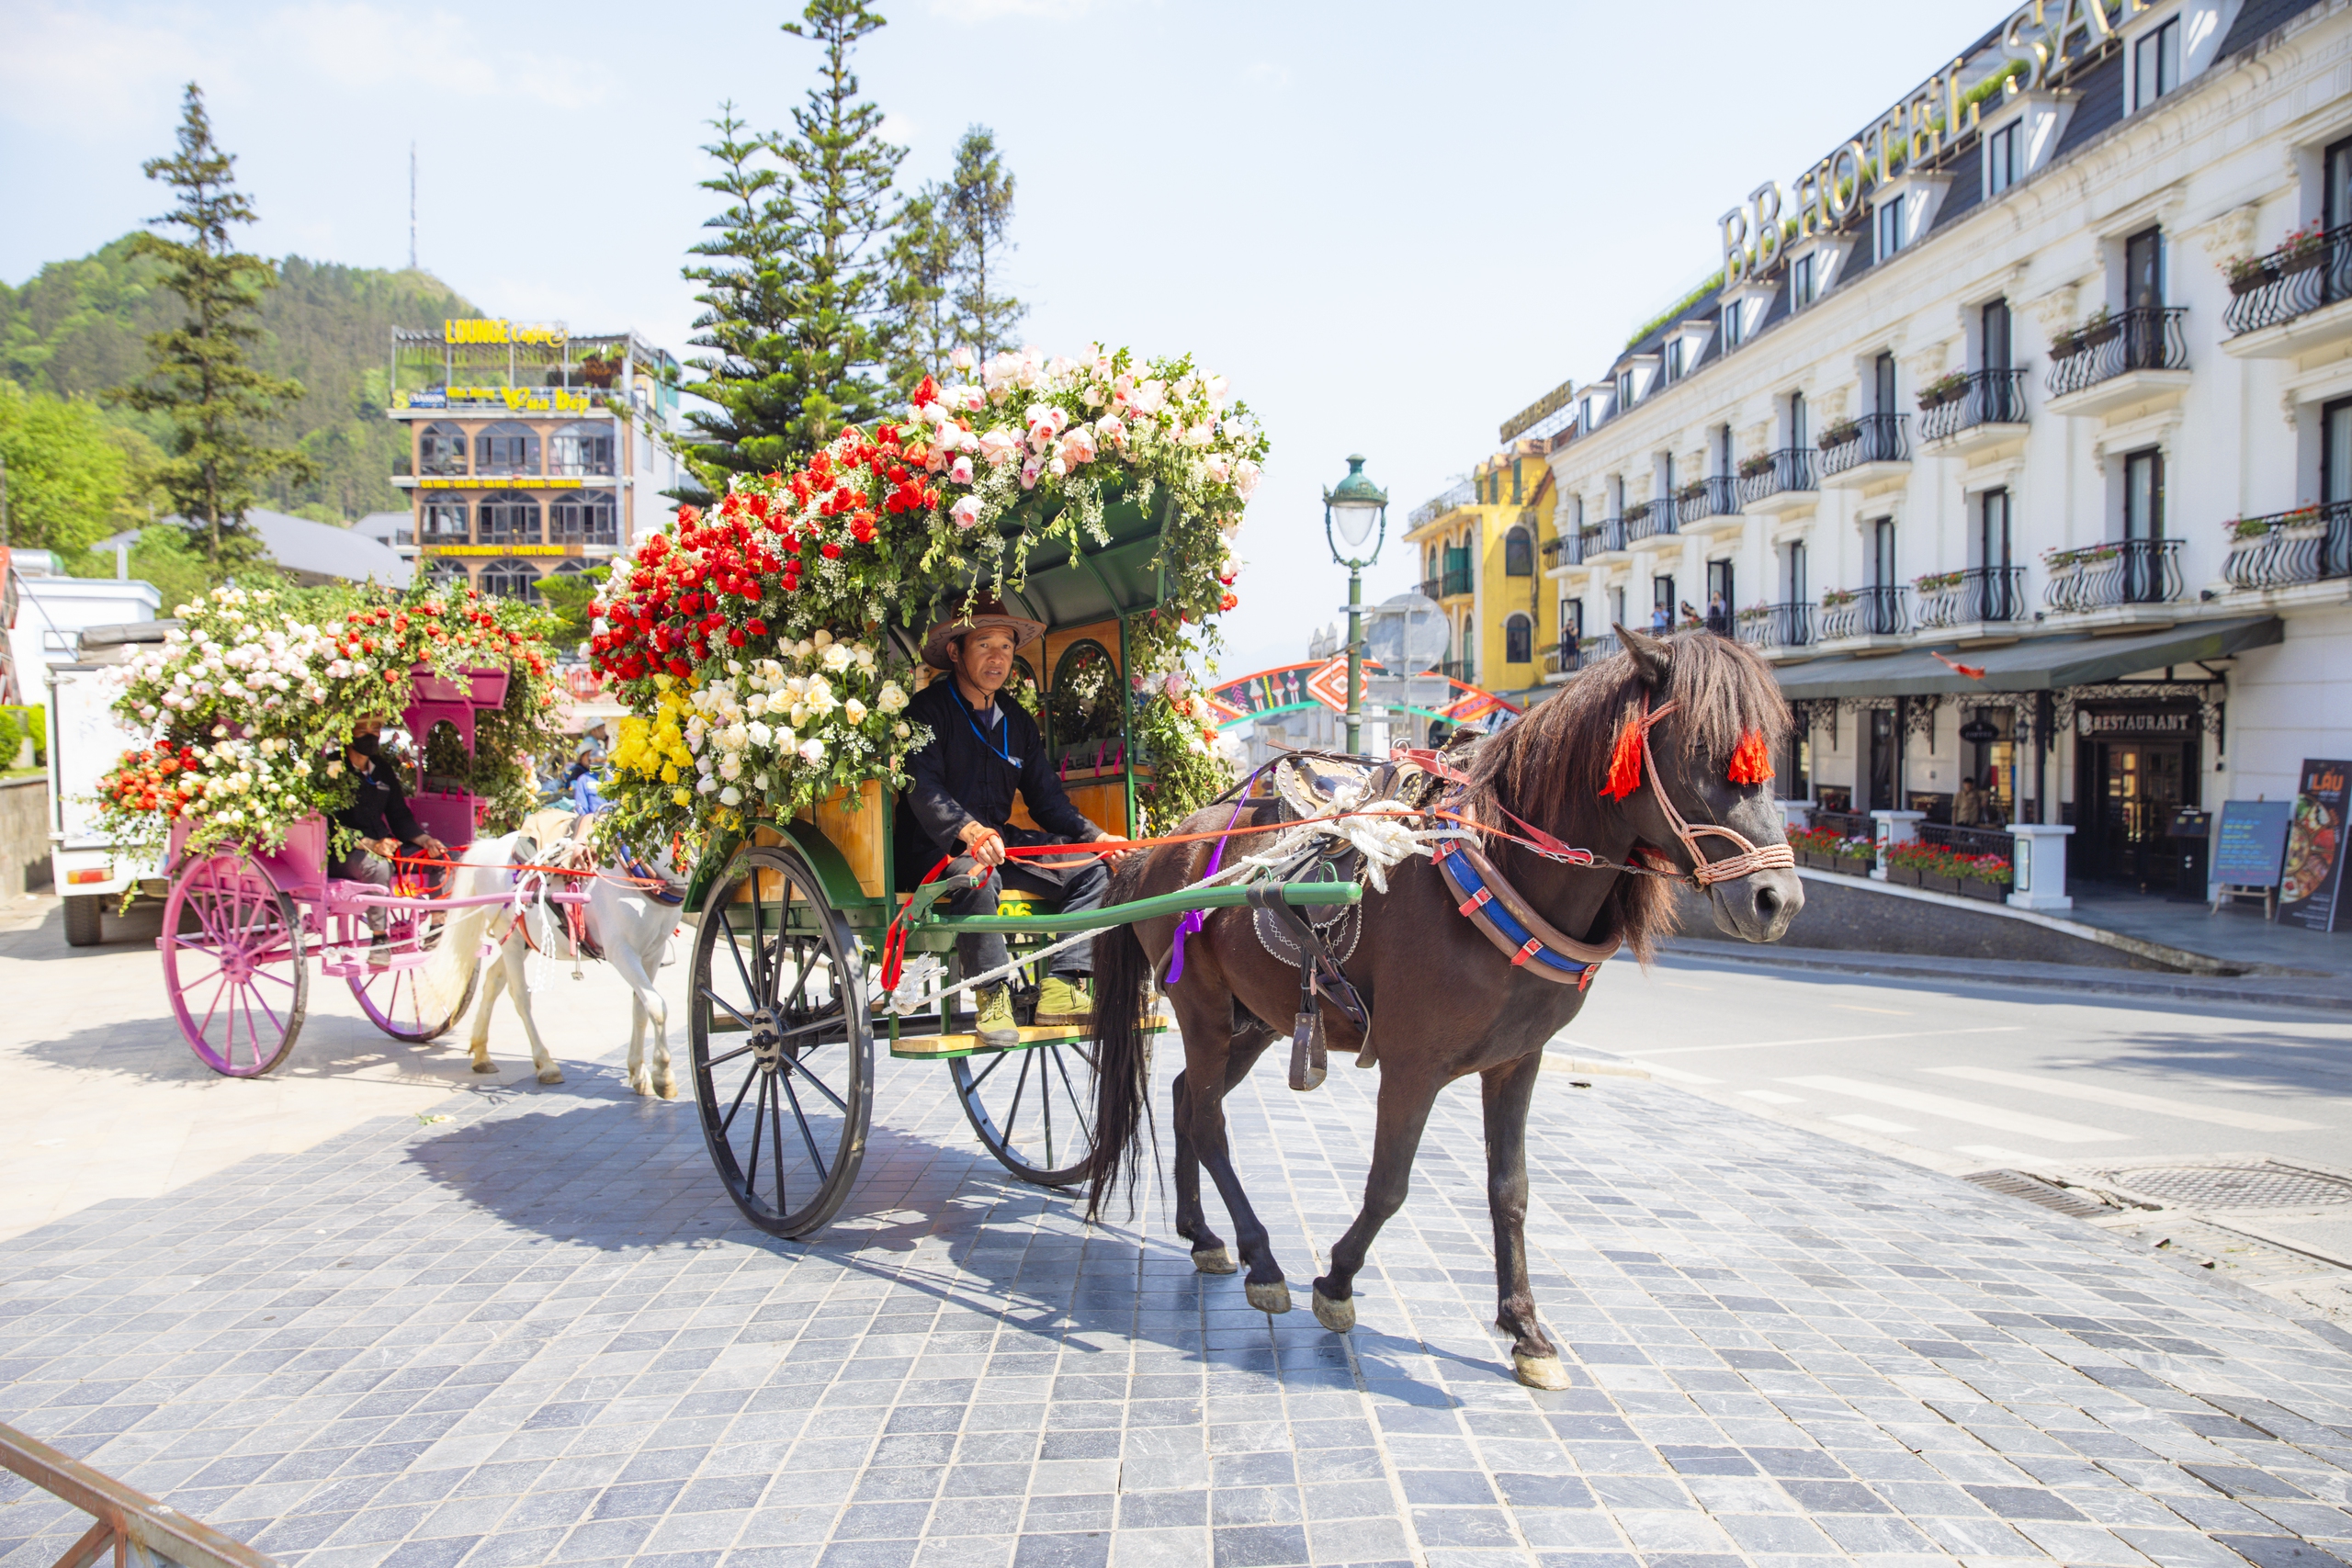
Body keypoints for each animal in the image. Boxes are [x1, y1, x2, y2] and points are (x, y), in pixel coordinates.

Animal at [1081, 620, 1796, 1382]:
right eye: (1700, 747)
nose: (1777, 899)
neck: (1499, 867)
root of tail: (1158, 850)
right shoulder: (1411, 1064)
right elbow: (1389, 1184)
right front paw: (1336, 1280)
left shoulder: (1517, 1061)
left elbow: (1510, 1189)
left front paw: (1525, 1328)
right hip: (1203, 1007)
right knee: (1209, 1119)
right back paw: (1262, 1259)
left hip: (1258, 1020)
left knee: (1188, 1099)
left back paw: (1203, 1234)